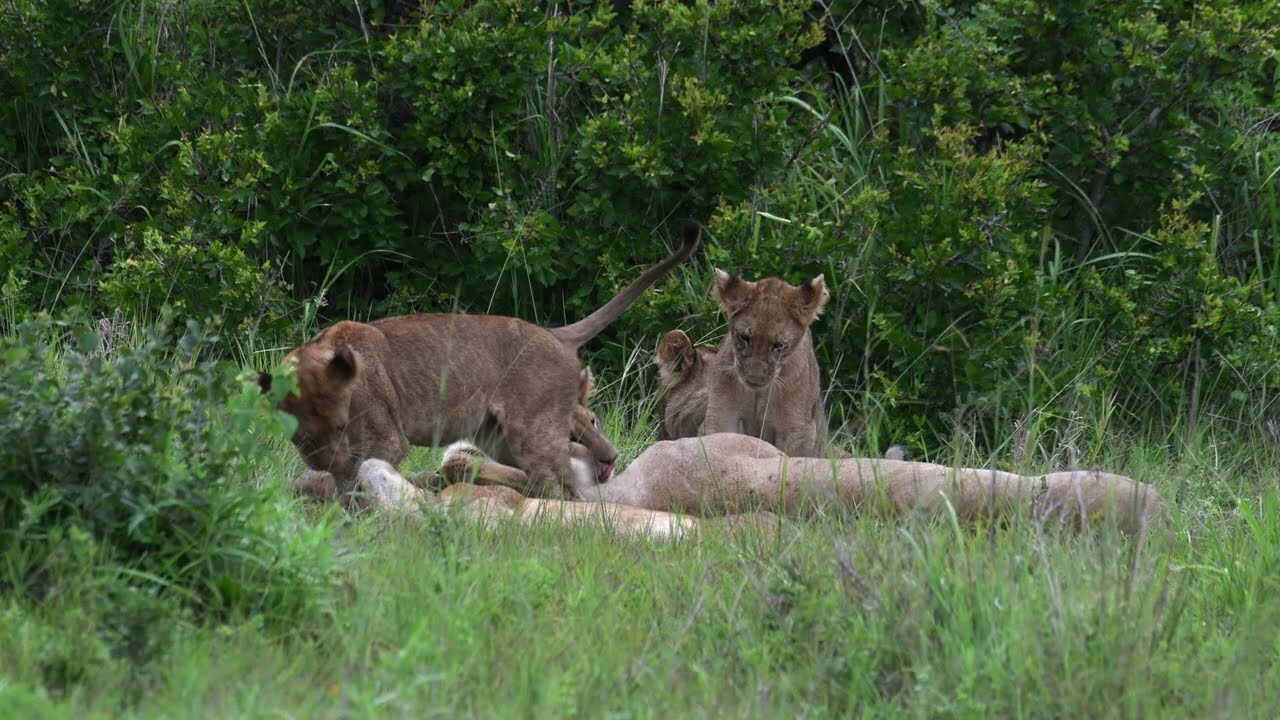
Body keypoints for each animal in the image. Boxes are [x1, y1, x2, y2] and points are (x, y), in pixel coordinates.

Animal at [260, 223, 700, 505]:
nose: (324, 460)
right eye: (301, 438)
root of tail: (552, 333)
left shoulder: (385, 441)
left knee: (561, 488)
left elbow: (356, 480)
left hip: (533, 433)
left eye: (339, 426)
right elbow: (343, 482)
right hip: (497, 435)